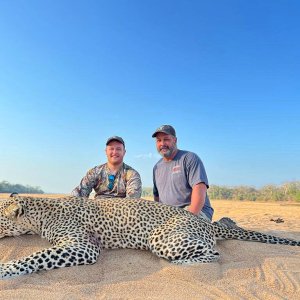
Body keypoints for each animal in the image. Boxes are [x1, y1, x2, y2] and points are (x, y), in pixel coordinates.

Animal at [0, 197, 298, 278]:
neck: (39, 212)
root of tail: (201, 221)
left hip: (163, 238)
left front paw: (5, 269)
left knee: (214, 254)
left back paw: (178, 265)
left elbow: (35, 257)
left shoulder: (84, 245)